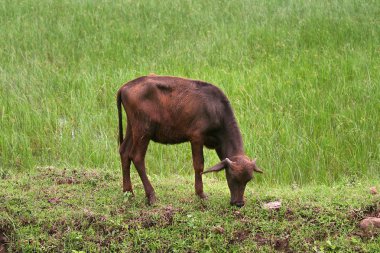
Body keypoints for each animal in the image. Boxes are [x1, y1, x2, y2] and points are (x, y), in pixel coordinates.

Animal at [117, 74, 262, 206]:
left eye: (248, 180)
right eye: (232, 177)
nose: (239, 203)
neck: (215, 110)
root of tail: (124, 87)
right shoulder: (196, 137)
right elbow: (199, 165)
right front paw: (200, 194)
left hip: (132, 127)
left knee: (124, 152)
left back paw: (128, 192)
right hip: (143, 131)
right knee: (137, 157)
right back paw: (151, 195)